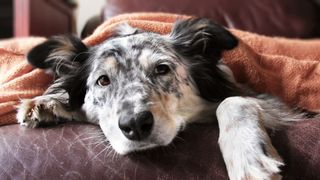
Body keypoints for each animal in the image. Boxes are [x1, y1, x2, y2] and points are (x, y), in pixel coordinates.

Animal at [15, 17, 304, 179]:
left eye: (162, 69)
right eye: (103, 80)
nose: (135, 125)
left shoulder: (266, 100)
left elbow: (232, 101)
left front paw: (248, 155)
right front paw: (46, 103)